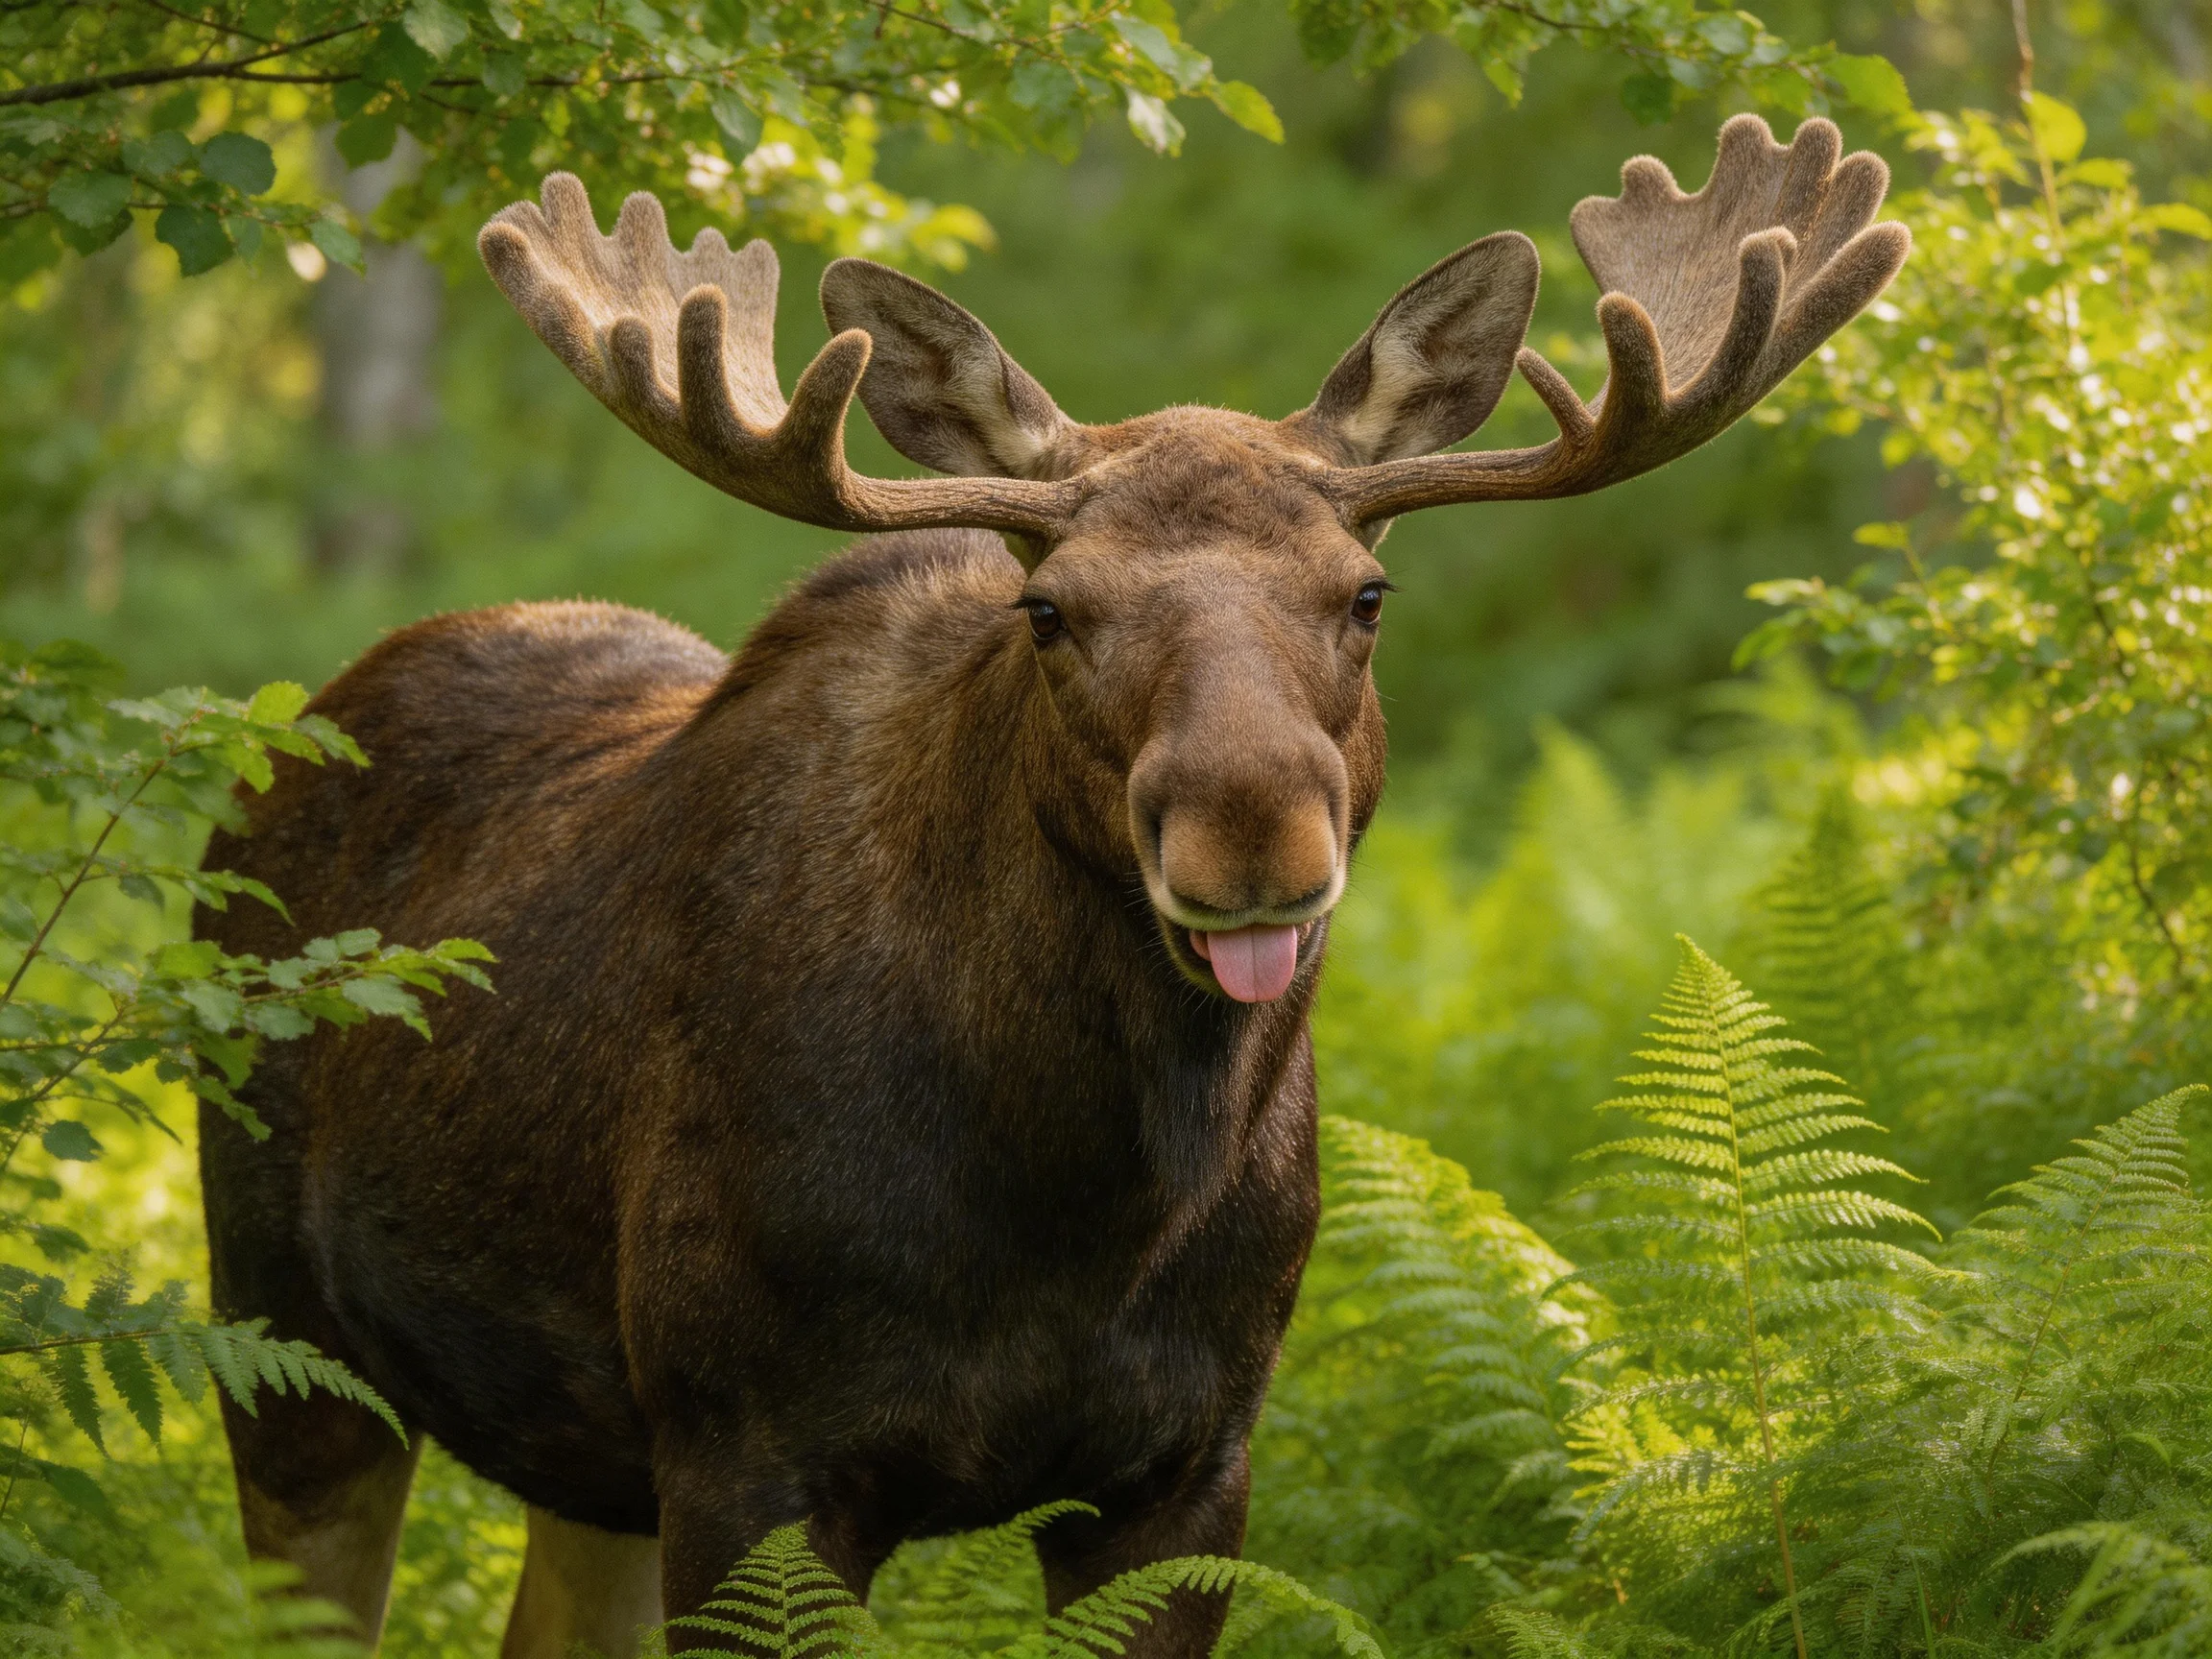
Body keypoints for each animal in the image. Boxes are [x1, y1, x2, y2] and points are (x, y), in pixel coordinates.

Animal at [195, 114, 1906, 1658]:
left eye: (1366, 593)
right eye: (1049, 609)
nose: (1250, 831)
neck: (1084, 1210)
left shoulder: (1188, 1465)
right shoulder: (751, 1451)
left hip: (584, 1447)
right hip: (285, 1333)